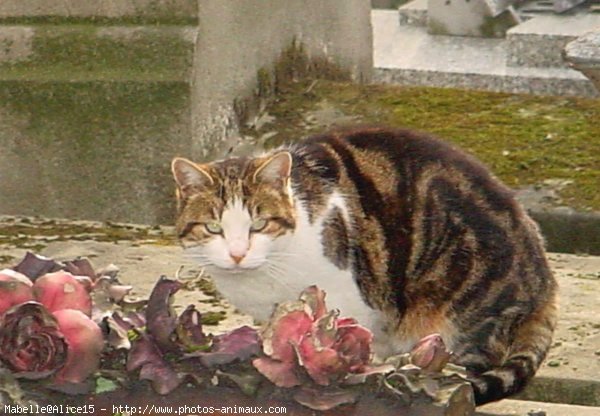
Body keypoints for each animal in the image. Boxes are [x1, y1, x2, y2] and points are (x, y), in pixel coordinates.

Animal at [172, 126, 556, 404]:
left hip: (459, 309)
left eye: (259, 224)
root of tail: (545, 281)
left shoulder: (348, 299)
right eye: (213, 228)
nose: (237, 254)